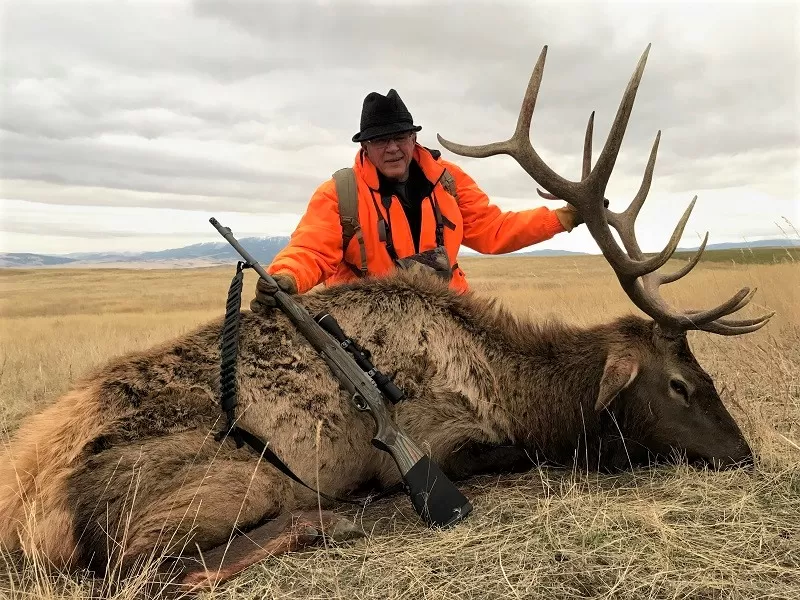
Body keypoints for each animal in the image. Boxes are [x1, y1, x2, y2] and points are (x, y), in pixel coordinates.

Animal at [0, 45, 776, 592]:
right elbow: (511, 456)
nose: (745, 454)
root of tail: (27, 508)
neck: (517, 386)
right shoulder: (444, 436)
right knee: (147, 569)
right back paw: (335, 517)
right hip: (223, 482)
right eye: (679, 382)